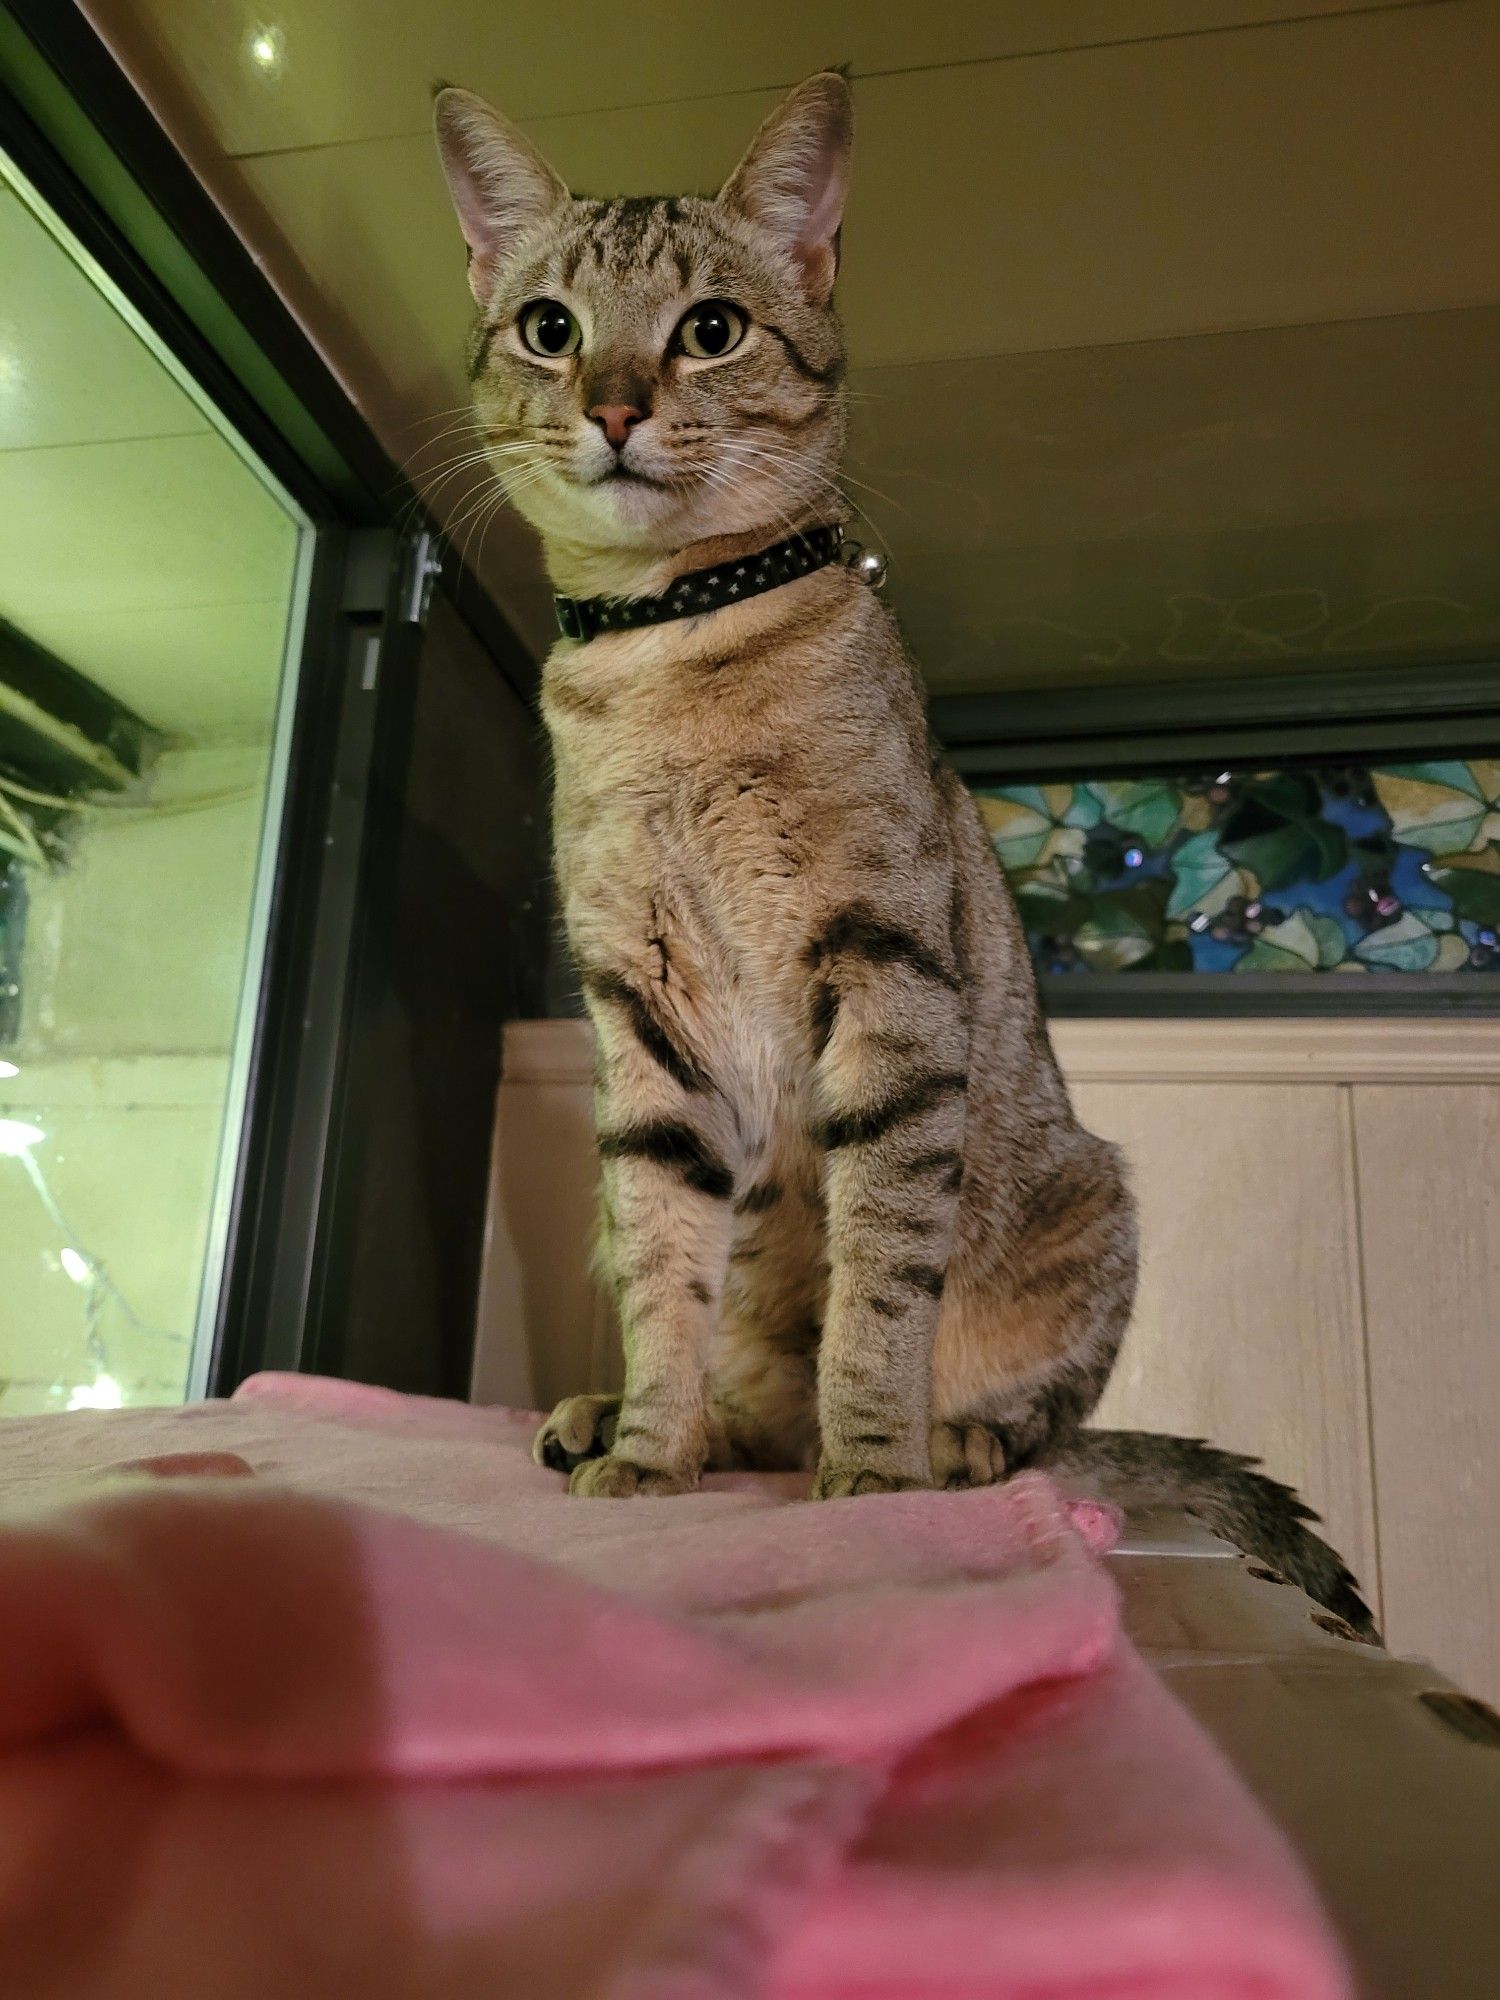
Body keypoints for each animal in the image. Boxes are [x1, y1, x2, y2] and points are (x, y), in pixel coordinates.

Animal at [432, 70, 1376, 1632]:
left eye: (711, 328)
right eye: (552, 328)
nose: (616, 405)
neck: (665, 653)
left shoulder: (885, 973)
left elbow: (880, 1279)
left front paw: (872, 1471)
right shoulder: (642, 1017)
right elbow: (667, 1269)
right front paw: (653, 1444)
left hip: (1092, 1206)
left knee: (1034, 1423)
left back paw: (946, 1443)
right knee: (741, 1374)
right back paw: (636, 1416)